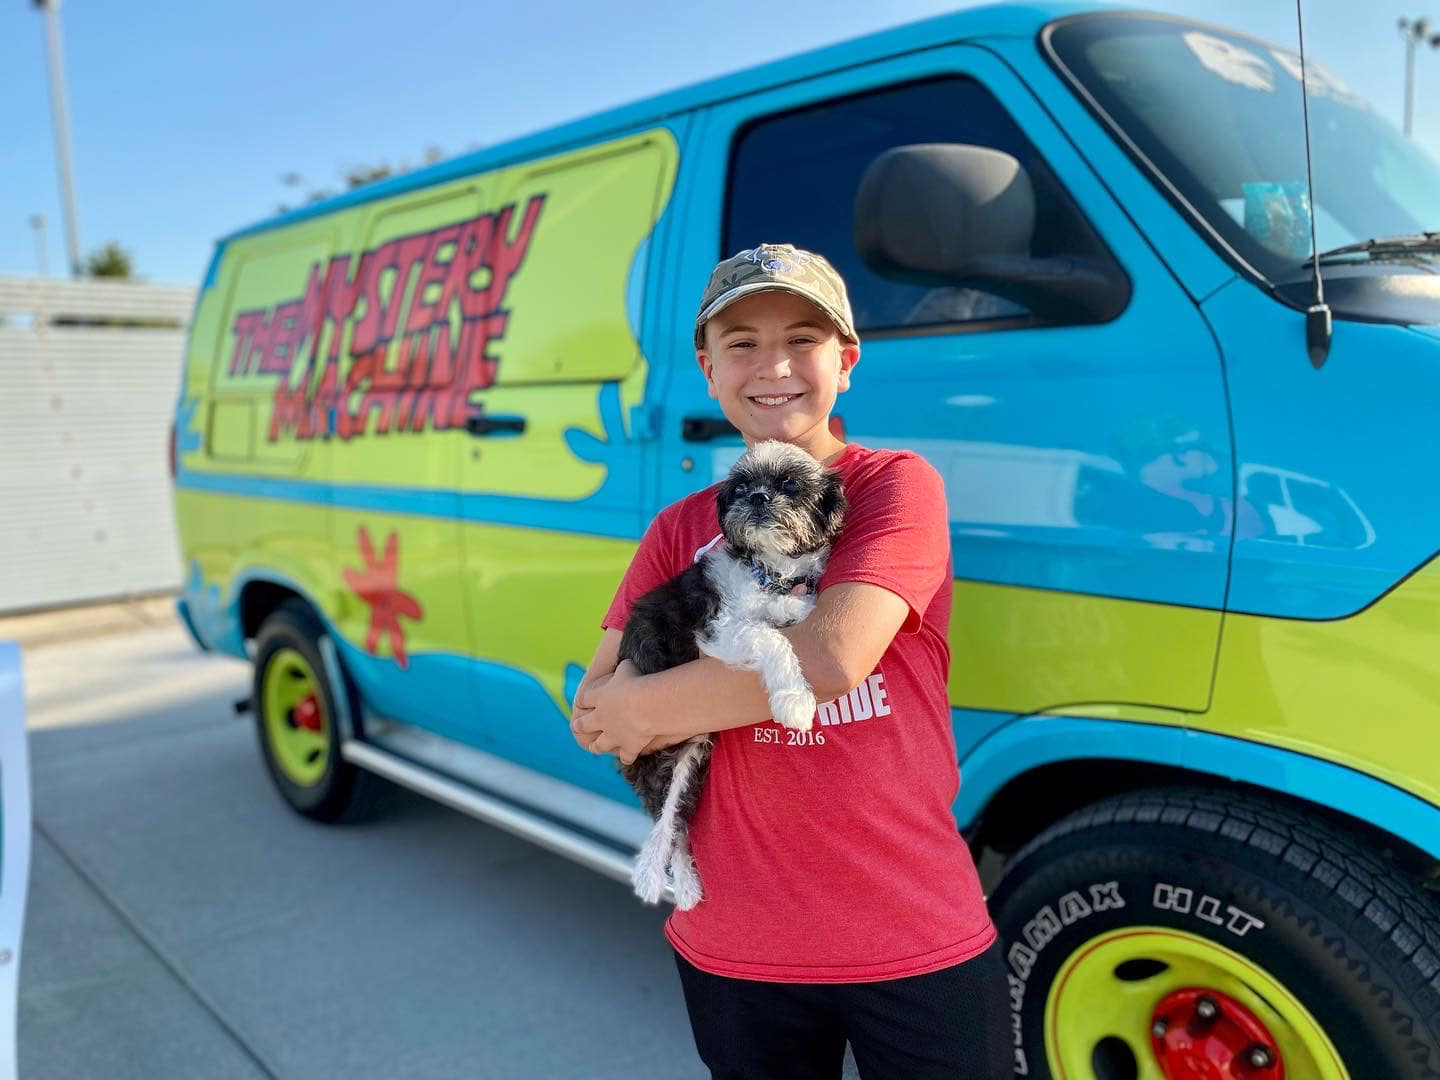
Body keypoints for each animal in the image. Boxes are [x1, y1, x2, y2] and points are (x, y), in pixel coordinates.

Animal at [616, 437, 840, 904]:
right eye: (739, 488)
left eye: (790, 484)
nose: (757, 498)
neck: (769, 571)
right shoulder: (718, 632)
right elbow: (773, 639)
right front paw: (794, 700)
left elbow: (788, 614)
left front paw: (794, 608)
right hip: (659, 762)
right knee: (666, 826)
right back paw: (659, 881)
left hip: (692, 758)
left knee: (679, 826)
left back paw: (685, 883)